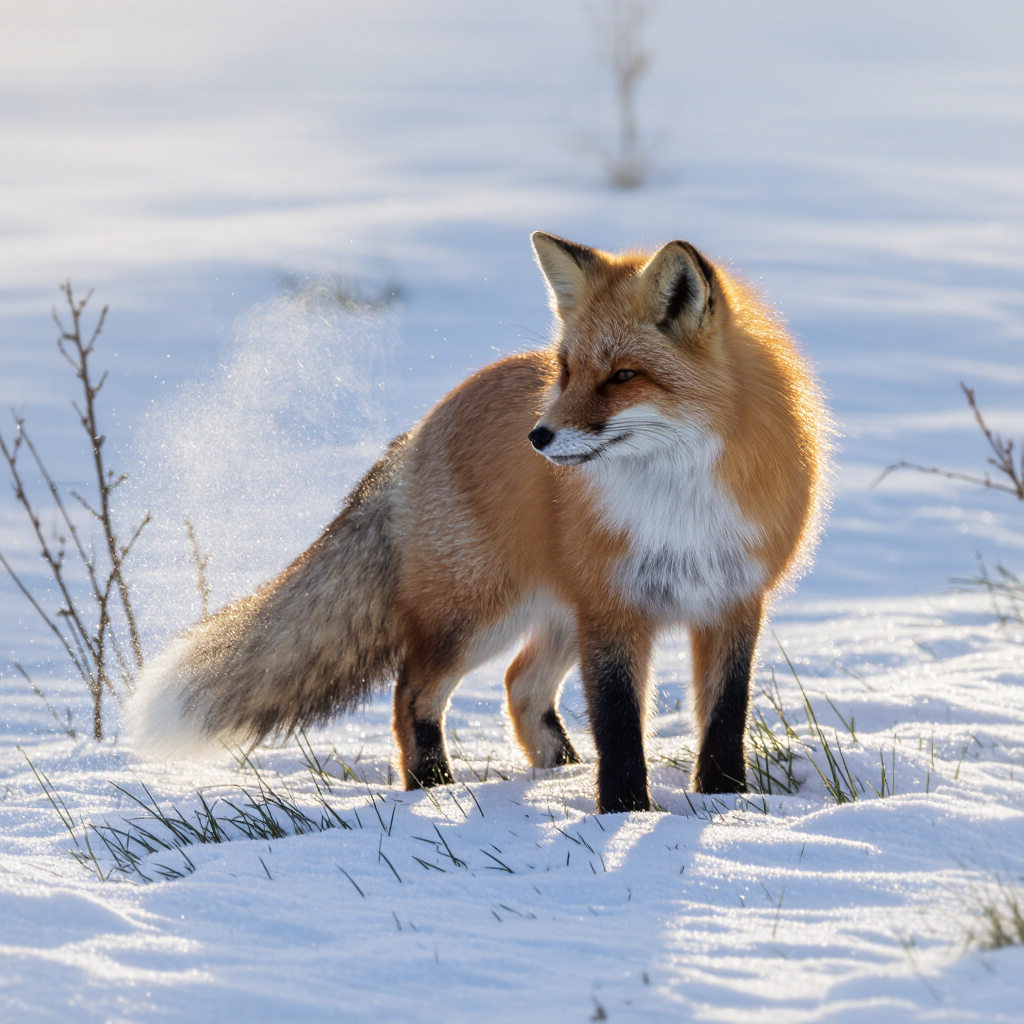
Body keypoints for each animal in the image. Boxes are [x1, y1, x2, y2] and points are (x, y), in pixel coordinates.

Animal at [132, 232, 827, 813]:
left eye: (624, 376)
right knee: (412, 690)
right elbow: (620, 726)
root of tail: (421, 428)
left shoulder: (733, 601)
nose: (538, 438)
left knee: (520, 685)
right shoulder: (614, 609)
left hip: (554, 612)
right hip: (479, 612)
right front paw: (625, 812)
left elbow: (724, 719)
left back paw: (558, 772)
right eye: (566, 370)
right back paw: (434, 788)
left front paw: (726, 805)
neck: (678, 505)